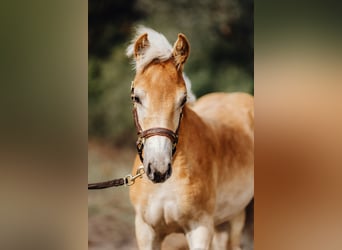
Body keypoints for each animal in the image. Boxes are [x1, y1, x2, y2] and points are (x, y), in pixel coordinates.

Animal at [126, 26, 254, 250]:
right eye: (136, 97)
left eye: (183, 99)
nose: (158, 169)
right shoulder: (145, 230)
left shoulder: (200, 228)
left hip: (236, 217)